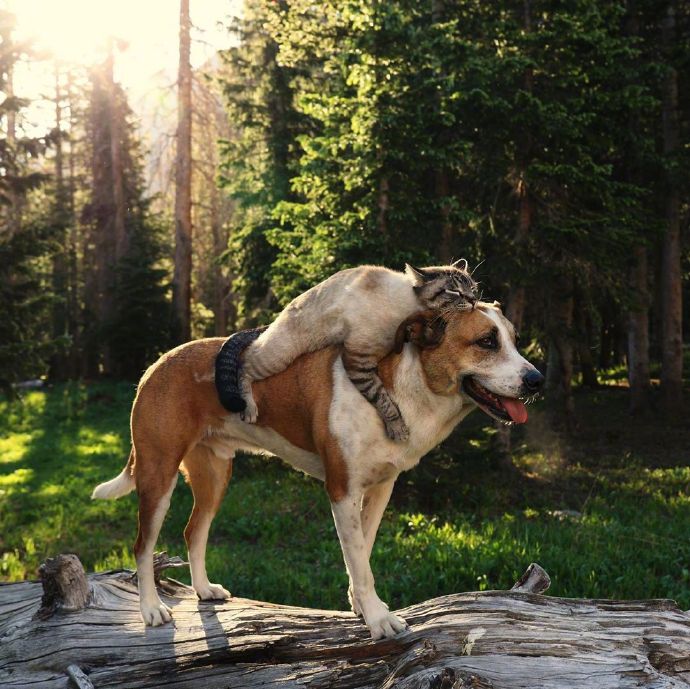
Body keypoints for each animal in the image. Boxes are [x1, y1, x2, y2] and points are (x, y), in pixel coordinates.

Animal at [92, 300, 544, 640]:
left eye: (515, 340)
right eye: (486, 341)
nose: (537, 380)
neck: (395, 389)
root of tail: (158, 363)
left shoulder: (380, 488)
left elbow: (362, 551)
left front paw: (362, 606)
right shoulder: (342, 490)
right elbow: (359, 560)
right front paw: (378, 618)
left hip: (215, 476)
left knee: (193, 531)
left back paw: (203, 589)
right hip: (158, 474)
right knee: (143, 546)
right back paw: (151, 608)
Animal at [218, 258, 476, 440]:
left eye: (473, 288)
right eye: (454, 291)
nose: (474, 300)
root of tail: (275, 319)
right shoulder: (357, 359)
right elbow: (384, 401)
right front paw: (398, 430)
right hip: (279, 355)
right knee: (246, 361)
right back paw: (249, 409)